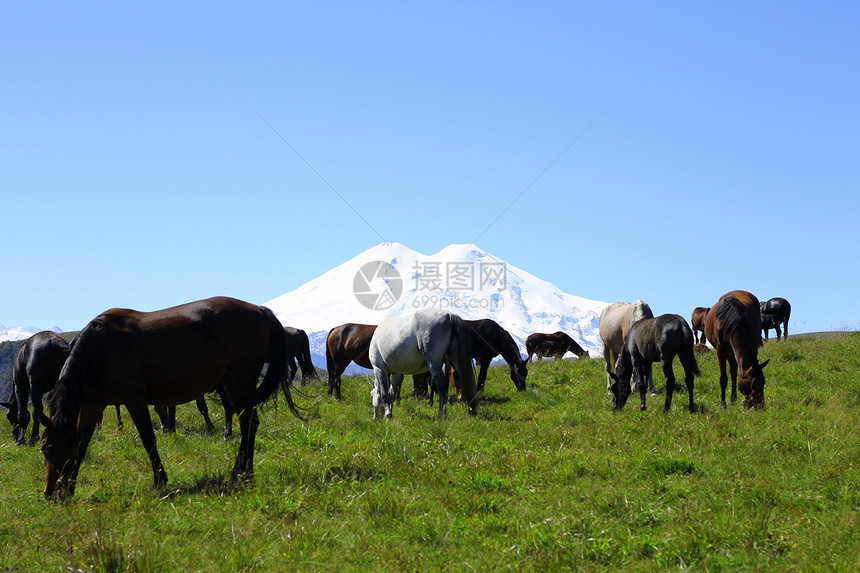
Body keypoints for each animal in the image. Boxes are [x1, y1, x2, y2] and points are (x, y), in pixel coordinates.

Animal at [38, 298, 300, 498]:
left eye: (60, 450)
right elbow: (83, 443)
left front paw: (159, 481)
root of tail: (260, 310)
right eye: (44, 449)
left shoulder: (134, 400)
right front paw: (71, 489)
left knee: (249, 422)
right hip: (231, 382)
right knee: (248, 421)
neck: (100, 349)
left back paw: (241, 472)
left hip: (240, 381)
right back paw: (243, 472)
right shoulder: (93, 404)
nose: (50, 493)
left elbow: (148, 439)